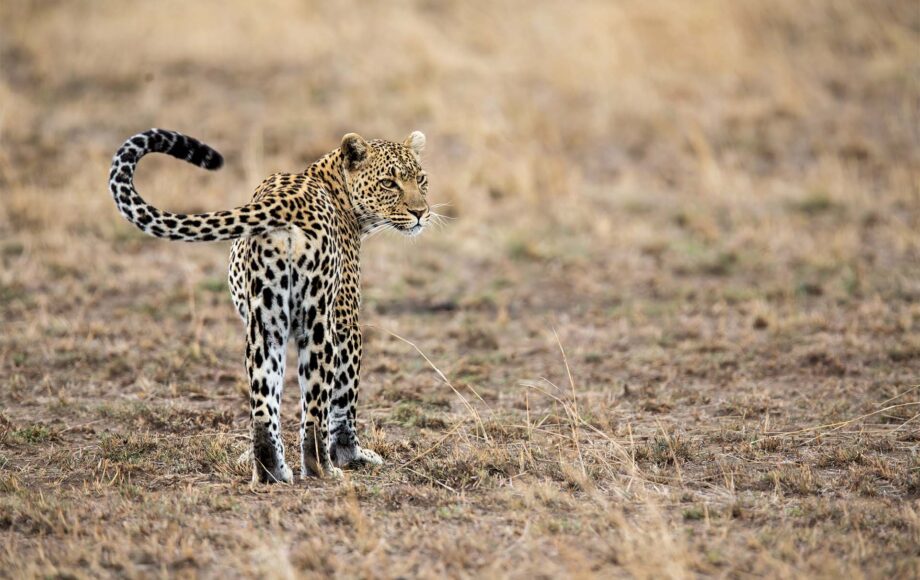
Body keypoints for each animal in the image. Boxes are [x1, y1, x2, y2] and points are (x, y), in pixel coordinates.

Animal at [108, 129, 432, 482]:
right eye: (389, 183)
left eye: (421, 179)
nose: (421, 213)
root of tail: (287, 205)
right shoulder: (347, 323)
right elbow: (345, 398)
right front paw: (352, 454)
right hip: (317, 323)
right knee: (315, 408)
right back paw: (323, 469)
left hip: (265, 323)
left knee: (263, 403)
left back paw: (269, 471)